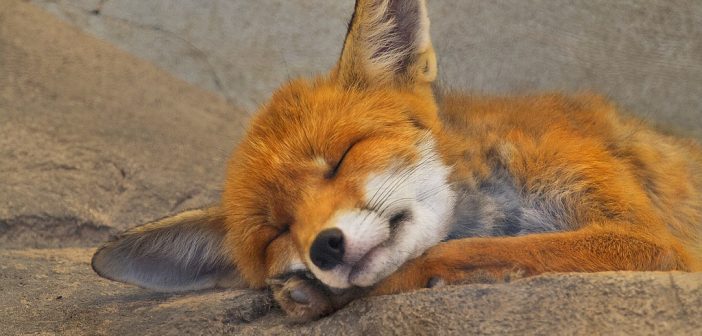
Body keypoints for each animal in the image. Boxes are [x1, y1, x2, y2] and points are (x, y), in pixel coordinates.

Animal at [92, 0, 702, 322]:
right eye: (276, 232)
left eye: (342, 159)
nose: (325, 247)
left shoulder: (654, 241)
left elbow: (462, 251)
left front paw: (342, 294)